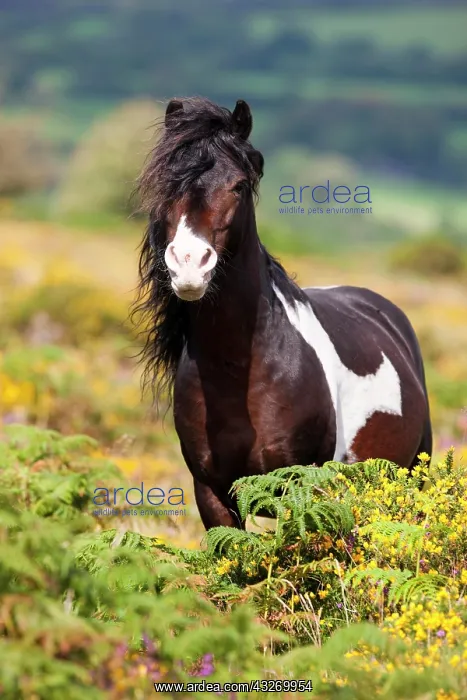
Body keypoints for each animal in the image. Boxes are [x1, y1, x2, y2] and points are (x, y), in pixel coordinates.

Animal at [133, 96, 432, 531]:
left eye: (239, 185)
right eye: (166, 185)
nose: (188, 265)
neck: (237, 372)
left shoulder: (298, 486)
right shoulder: (211, 494)